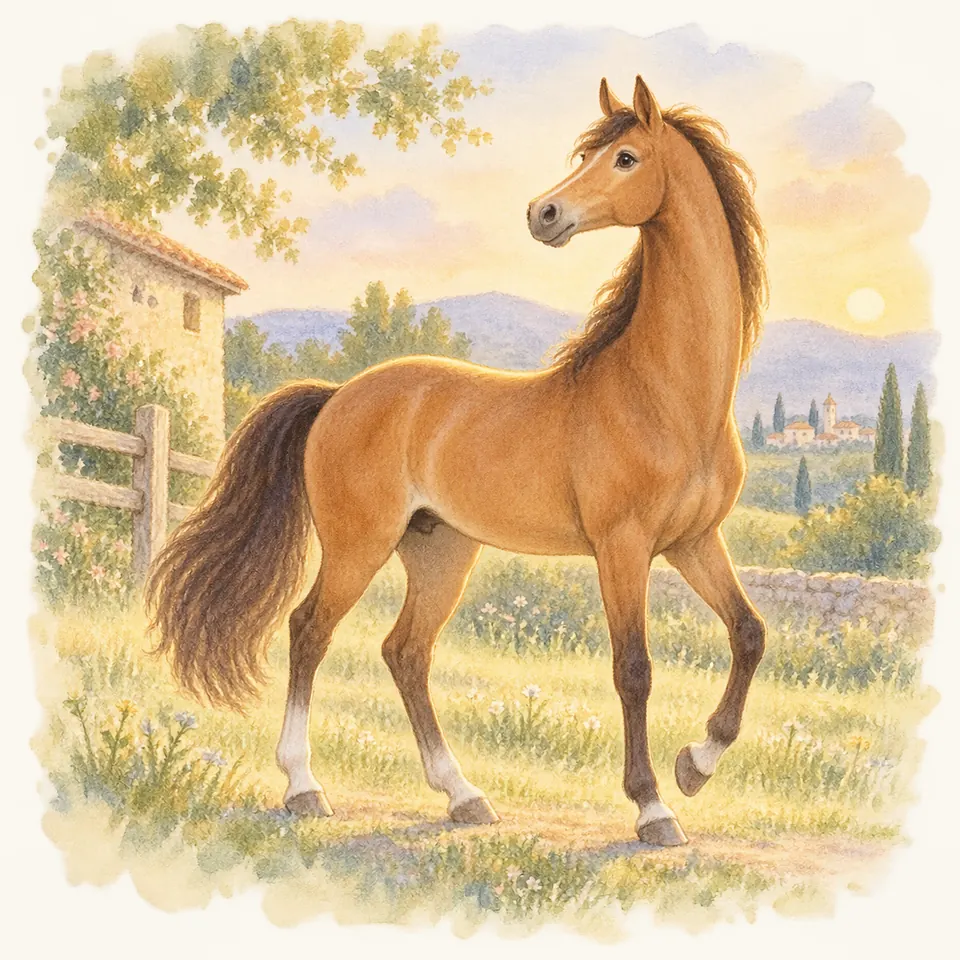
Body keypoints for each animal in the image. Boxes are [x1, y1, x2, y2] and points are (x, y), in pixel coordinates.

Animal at [146, 75, 768, 847]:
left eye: (626, 158)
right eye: (590, 155)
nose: (543, 213)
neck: (666, 394)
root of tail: (337, 396)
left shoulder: (692, 542)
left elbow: (749, 633)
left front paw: (696, 764)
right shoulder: (622, 547)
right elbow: (634, 668)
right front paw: (654, 806)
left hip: (441, 552)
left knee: (406, 653)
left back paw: (462, 795)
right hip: (359, 544)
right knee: (309, 630)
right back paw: (304, 787)